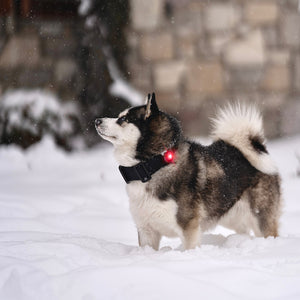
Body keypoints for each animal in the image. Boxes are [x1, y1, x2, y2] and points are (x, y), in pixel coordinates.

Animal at [95, 94, 282, 251]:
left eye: (123, 119)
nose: (97, 120)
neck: (154, 164)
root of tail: (254, 147)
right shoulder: (147, 230)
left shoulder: (189, 227)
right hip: (231, 216)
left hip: (260, 218)